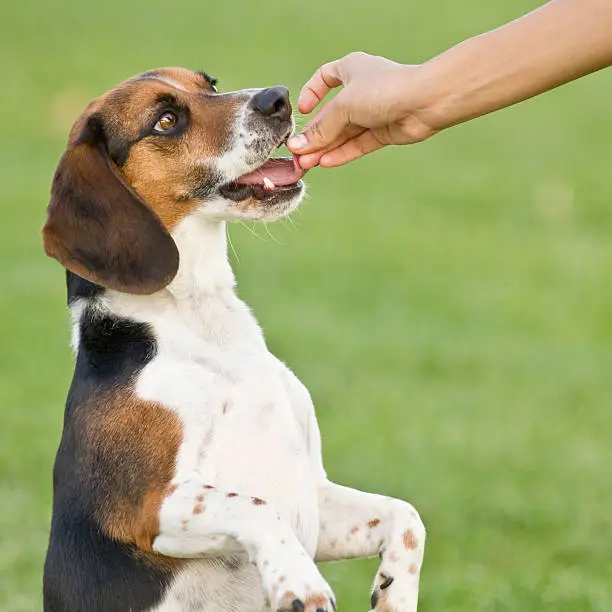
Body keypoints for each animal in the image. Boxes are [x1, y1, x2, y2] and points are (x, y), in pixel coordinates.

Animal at [43, 67, 426, 612]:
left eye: (210, 83)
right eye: (165, 120)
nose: (278, 98)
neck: (204, 321)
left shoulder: (316, 500)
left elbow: (406, 515)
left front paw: (395, 594)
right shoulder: (148, 505)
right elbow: (258, 507)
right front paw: (300, 582)